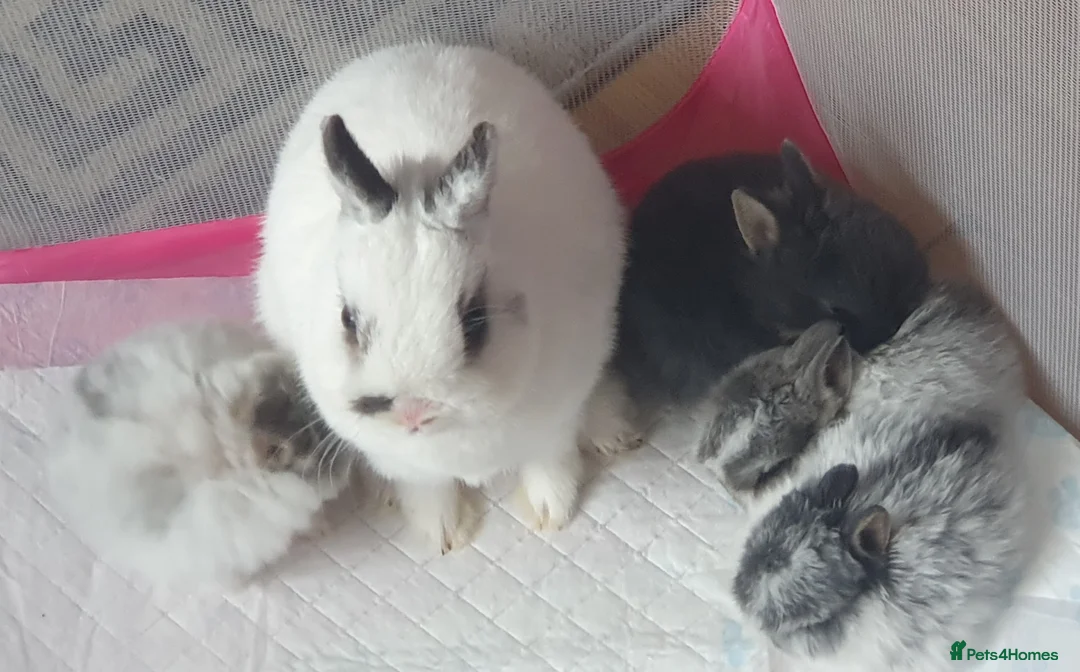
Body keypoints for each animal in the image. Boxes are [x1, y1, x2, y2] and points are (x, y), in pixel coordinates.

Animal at [255, 43, 627, 552]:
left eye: (476, 321)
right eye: (347, 319)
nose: (413, 411)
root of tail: (410, 48)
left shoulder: (558, 415)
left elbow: (550, 460)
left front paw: (552, 512)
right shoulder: (403, 462)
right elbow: (427, 488)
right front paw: (444, 533)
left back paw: (612, 432)